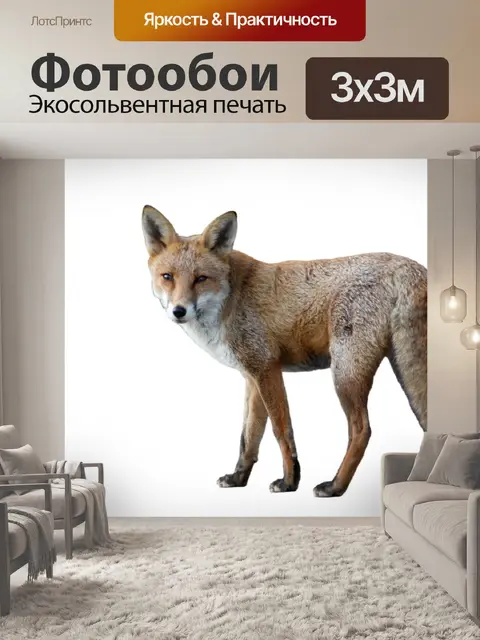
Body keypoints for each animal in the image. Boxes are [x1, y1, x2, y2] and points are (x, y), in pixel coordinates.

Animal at [141, 205, 427, 497]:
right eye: (168, 277)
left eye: (201, 279)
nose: (179, 311)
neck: (231, 299)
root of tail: (410, 266)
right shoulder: (252, 377)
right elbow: (249, 436)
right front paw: (238, 478)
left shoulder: (267, 368)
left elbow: (281, 430)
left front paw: (290, 481)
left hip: (346, 373)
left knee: (362, 430)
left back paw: (335, 486)